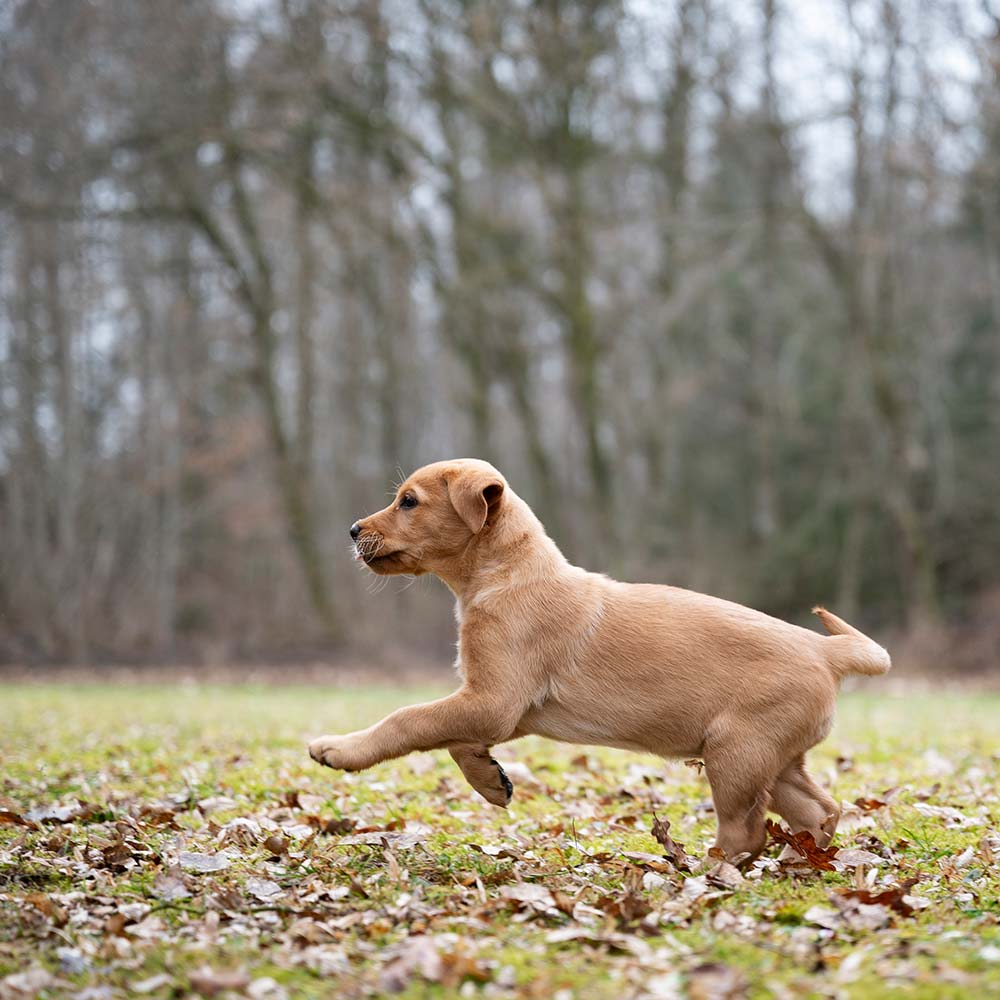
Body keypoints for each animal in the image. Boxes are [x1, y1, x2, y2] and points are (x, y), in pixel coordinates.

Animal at [308, 460, 888, 860]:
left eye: (409, 502)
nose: (353, 530)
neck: (506, 574)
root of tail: (825, 647)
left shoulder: (494, 700)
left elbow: (409, 719)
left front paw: (341, 748)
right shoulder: (501, 706)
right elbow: (450, 737)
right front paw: (488, 779)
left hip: (735, 752)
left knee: (744, 831)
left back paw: (708, 869)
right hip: (776, 758)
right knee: (820, 809)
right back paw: (801, 858)